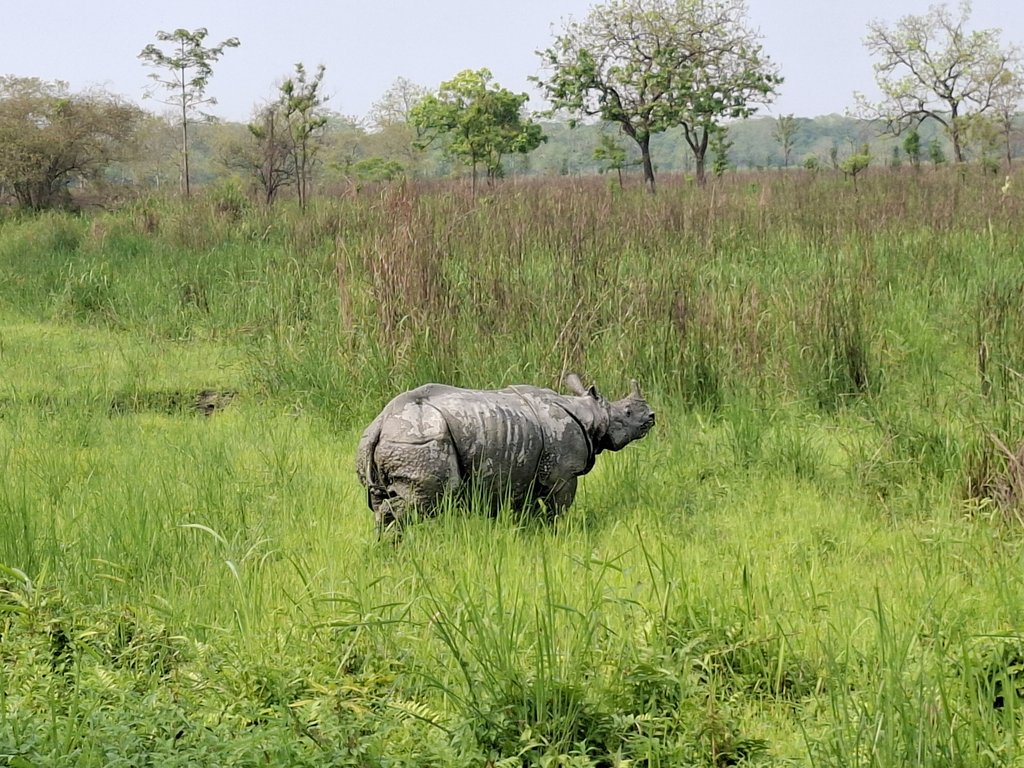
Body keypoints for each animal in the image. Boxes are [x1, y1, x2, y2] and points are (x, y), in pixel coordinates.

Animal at [355, 374, 655, 535]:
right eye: (627, 413)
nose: (652, 416)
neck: (591, 413)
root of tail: (380, 423)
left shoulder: (524, 470)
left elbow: (527, 511)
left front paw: (530, 535)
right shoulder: (563, 473)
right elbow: (559, 507)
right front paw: (559, 533)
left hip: (384, 442)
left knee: (381, 500)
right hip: (420, 439)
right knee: (426, 500)